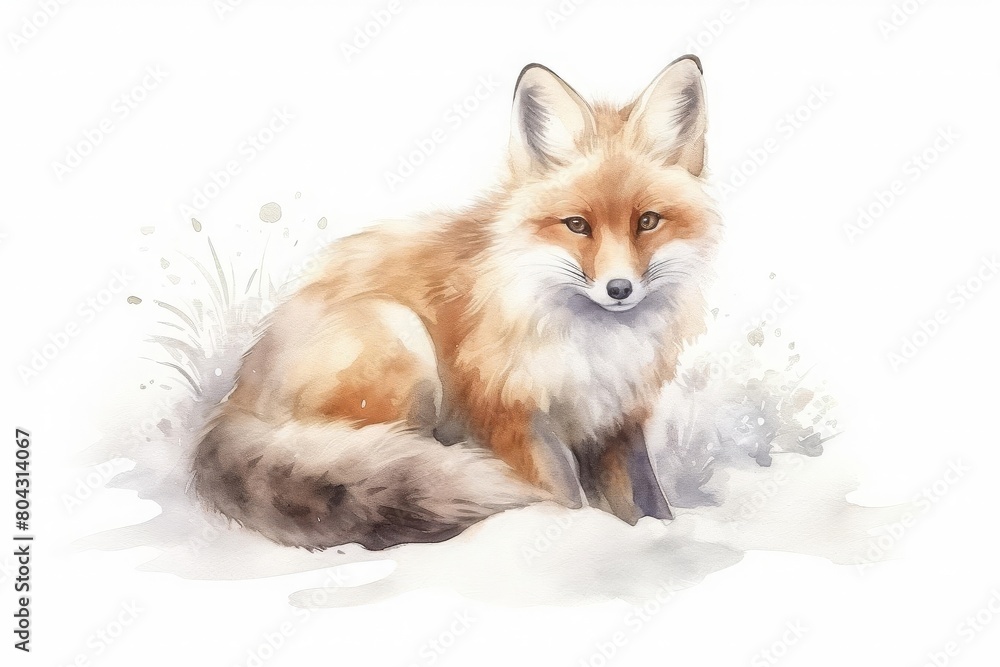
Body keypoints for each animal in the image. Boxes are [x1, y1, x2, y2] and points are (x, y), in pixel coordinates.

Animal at [193, 55, 722, 551]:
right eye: (577, 225)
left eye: (647, 221)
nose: (619, 289)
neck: (597, 346)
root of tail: (235, 401)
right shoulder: (511, 417)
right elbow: (564, 497)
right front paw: (569, 534)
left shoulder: (617, 421)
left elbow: (645, 500)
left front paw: (656, 532)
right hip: (402, 343)